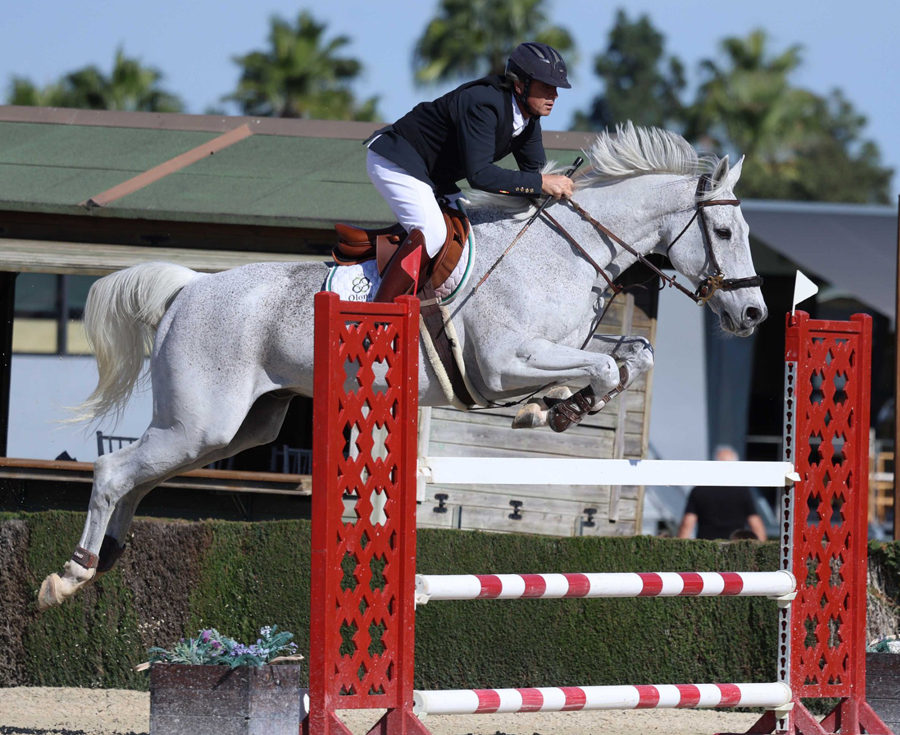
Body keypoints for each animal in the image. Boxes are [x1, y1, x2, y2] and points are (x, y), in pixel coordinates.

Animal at [37, 125, 768, 608]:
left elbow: (629, 359)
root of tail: (190, 287)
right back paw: (68, 575)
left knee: (140, 477)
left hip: (239, 428)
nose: (756, 313)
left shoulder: (561, 348)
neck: (567, 251)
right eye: (723, 233)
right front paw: (552, 409)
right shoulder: (501, 363)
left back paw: (105, 559)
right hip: (201, 423)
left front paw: (558, 407)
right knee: (115, 470)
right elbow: (601, 370)